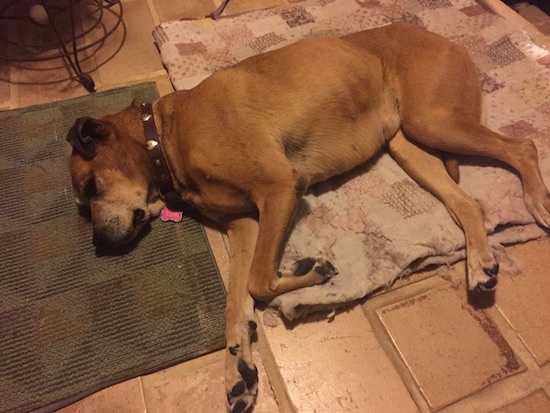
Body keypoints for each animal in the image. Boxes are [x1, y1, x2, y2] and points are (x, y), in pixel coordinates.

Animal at [66, 23, 550, 412]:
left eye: (90, 187)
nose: (98, 245)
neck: (164, 139)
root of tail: (437, 35)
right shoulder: (245, 225)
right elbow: (235, 303)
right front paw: (237, 368)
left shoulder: (279, 188)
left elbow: (259, 282)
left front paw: (310, 270)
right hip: (408, 144)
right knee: (467, 203)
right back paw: (480, 267)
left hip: (431, 121)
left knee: (522, 148)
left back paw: (537, 202)